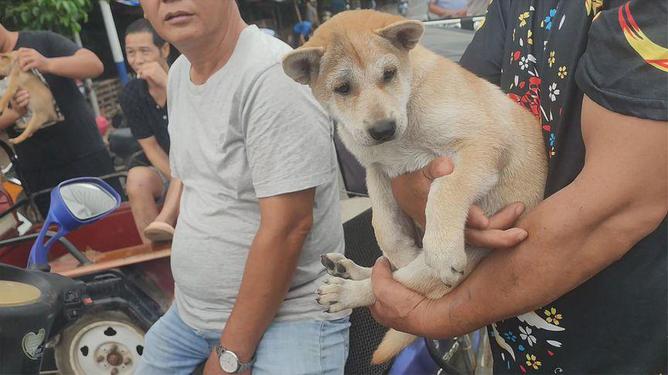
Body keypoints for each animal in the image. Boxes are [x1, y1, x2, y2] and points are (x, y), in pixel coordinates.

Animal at [282, 9, 548, 364]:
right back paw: (346, 269)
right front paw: (402, 249)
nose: (383, 129)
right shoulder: (377, 171)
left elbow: (444, 190)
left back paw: (346, 291)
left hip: (454, 263)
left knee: (396, 284)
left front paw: (440, 248)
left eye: (389, 73)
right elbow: (383, 225)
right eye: (342, 88)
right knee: (387, 273)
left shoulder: (483, 143)